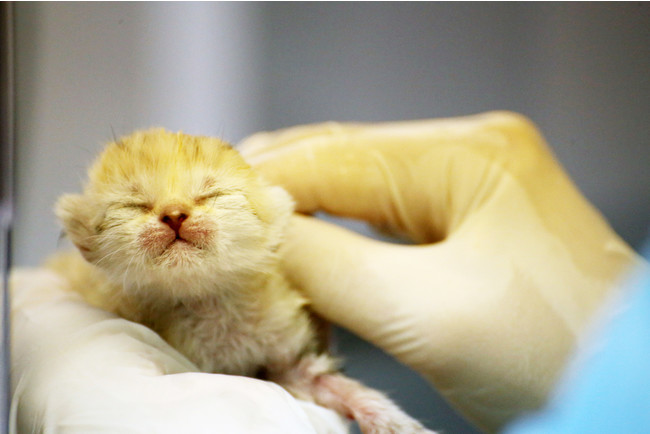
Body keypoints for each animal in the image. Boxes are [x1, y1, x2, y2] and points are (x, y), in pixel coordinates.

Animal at [48, 129, 432, 434]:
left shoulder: (285, 356)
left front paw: (391, 420)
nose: (174, 215)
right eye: (133, 204)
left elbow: (322, 381)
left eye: (211, 194)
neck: (204, 303)